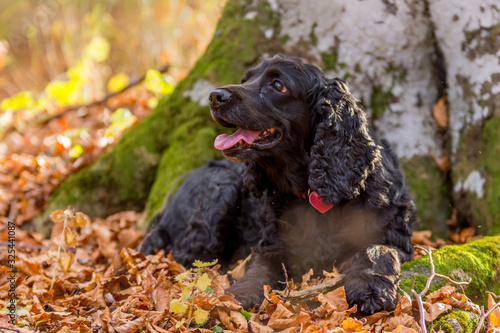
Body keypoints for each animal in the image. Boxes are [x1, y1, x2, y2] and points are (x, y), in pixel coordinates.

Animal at [139, 54, 416, 314]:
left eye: (278, 85)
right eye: (245, 79)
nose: (214, 97)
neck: (313, 190)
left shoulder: (394, 236)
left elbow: (377, 252)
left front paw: (371, 289)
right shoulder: (273, 245)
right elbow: (261, 270)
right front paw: (242, 293)